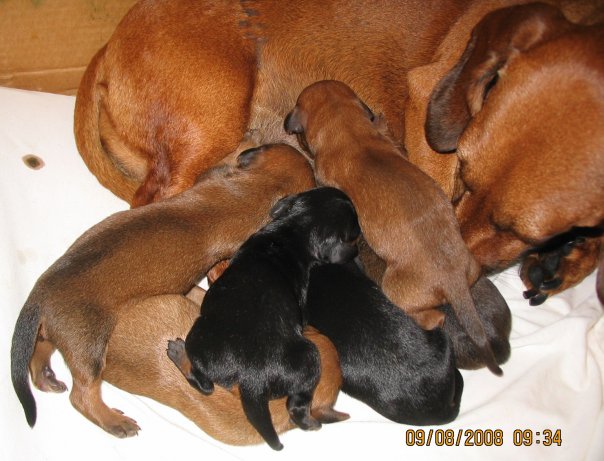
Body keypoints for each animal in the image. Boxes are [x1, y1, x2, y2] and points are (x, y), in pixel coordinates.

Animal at [10, 144, 316, 438]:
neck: (253, 187)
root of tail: (42, 293)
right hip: (89, 345)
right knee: (82, 396)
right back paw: (114, 422)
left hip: (62, 334)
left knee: (41, 348)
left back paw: (45, 376)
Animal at [74, 0, 603, 299]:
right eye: (465, 173)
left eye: (526, 232)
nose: (465, 277)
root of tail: (109, 45)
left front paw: (571, 260)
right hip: (210, 119)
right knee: (157, 202)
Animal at [171, 187, 360, 450]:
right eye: (354, 232)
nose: (358, 245)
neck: (291, 232)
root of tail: (253, 378)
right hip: (310, 358)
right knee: (296, 407)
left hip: (202, 341)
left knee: (205, 384)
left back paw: (180, 356)